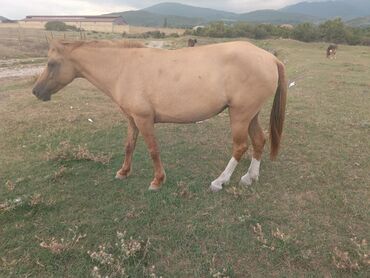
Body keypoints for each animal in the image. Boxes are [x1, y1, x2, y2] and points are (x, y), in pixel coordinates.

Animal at [33, 39, 288, 191]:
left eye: (52, 63)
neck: (123, 68)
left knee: (240, 146)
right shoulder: (132, 119)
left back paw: (220, 181)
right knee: (259, 140)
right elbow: (129, 146)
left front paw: (158, 180)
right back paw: (249, 177)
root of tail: (270, 57)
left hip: (240, 115)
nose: (36, 91)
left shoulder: (144, 119)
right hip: (250, 114)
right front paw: (124, 172)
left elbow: (153, 149)